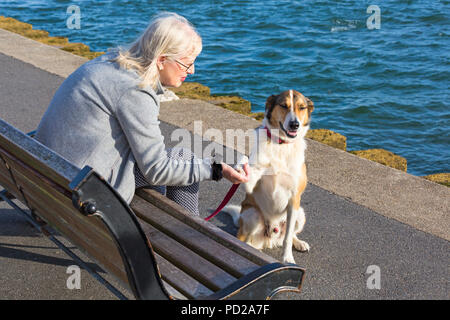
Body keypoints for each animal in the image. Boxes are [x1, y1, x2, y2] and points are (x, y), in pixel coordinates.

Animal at [227, 89, 314, 262]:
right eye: (283, 105)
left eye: (301, 107)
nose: (295, 124)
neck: (281, 145)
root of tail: (270, 239)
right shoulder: (251, 183)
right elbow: (247, 168)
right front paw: (241, 166)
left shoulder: (294, 199)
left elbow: (287, 239)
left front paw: (287, 259)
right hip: (252, 214)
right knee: (244, 239)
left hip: (300, 214)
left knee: (289, 235)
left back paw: (299, 243)